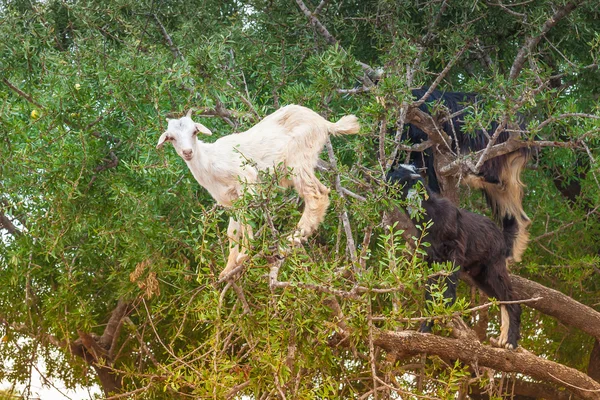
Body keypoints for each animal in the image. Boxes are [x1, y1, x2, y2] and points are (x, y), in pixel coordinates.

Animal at [157, 105, 358, 278]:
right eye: (171, 137)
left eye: (194, 131)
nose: (187, 152)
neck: (208, 162)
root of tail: (323, 123)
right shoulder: (230, 201)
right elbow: (232, 231)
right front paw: (228, 268)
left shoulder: (246, 179)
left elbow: (247, 220)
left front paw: (244, 254)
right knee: (323, 190)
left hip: (298, 160)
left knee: (316, 195)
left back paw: (293, 237)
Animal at [390, 164, 520, 348]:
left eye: (398, 177)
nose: (385, 179)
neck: (432, 215)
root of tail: (502, 237)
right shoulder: (433, 259)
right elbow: (431, 293)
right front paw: (426, 326)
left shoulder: (455, 251)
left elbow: (449, 287)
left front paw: (445, 310)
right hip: (481, 276)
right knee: (502, 300)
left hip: (494, 267)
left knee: (512, 300)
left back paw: (511, 342)